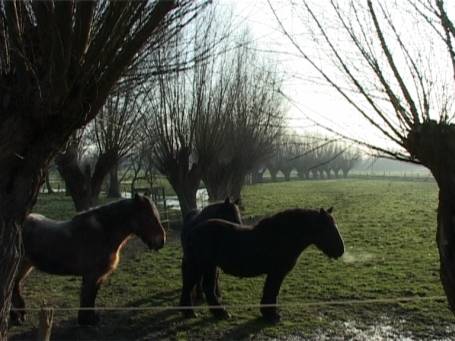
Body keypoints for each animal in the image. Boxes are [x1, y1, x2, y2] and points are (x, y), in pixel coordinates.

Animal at [10, 193, 166, 326]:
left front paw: (91, 318)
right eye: (148, 217)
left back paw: (19, 315)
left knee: (14, 286)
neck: (103, 233)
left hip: (25, 265)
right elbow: (87, 297)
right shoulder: (91, 275)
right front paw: (86, 321)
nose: (161, 241)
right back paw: (16, 317)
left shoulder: (98, 276)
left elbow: (91, 297)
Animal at [180, 205, 344, 322]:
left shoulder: (275, 273)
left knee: (208, 288)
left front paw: (267, 313)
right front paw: (271, 315)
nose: (341, 250)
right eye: (327, 228)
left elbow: (271, 291)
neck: (283, 236)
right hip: (200, 266)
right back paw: (191, 313)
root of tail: (193, 231)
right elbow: (272, 291)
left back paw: (220, 313)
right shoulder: (276, 273)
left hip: (210, 267)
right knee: (190, 286)